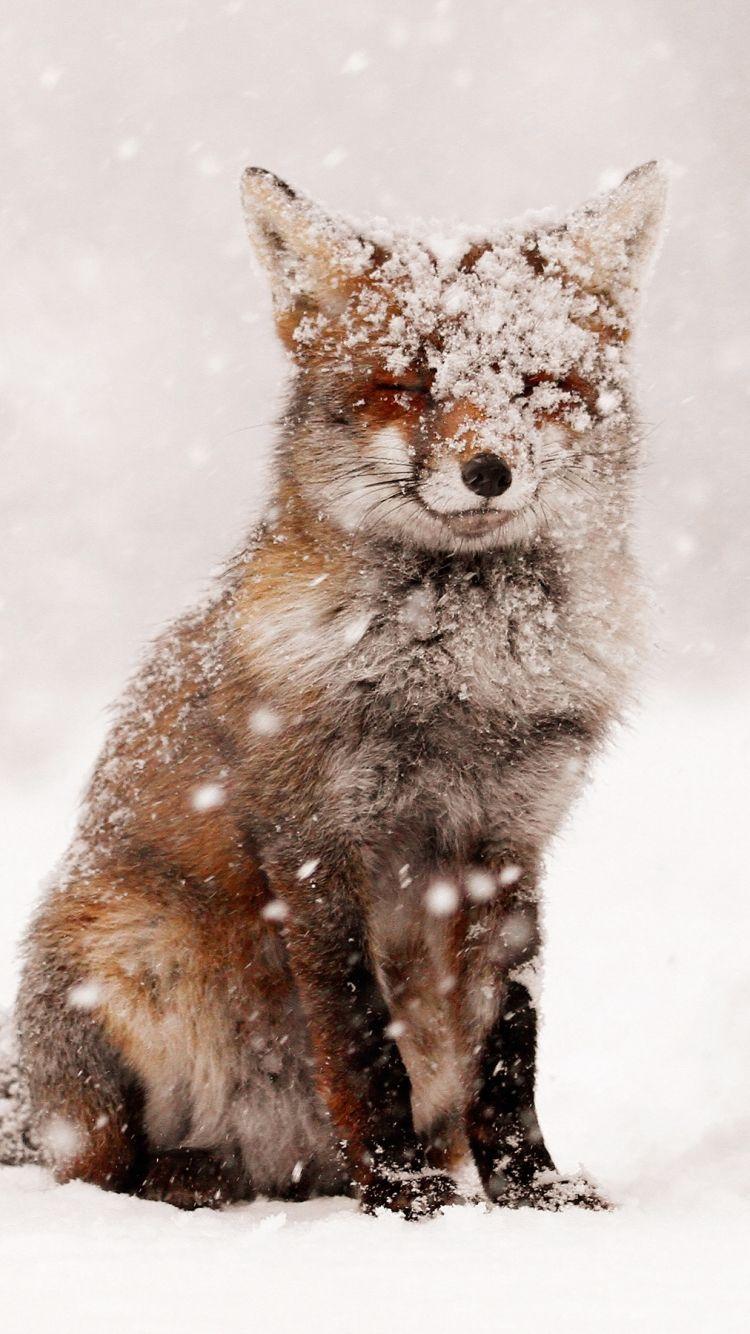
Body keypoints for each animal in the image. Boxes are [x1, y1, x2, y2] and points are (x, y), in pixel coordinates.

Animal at [15, 162, 666, 1216]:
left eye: (537, 386)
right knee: (107, 1170)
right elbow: (360, 1041)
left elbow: (508, 1050)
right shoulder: (317, 840)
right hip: (126, 956)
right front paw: (405, 1196)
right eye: (406, 386)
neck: (459, 691)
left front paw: (532, 1195)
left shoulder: (511, 842)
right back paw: (200, 1181)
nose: (489, 470)